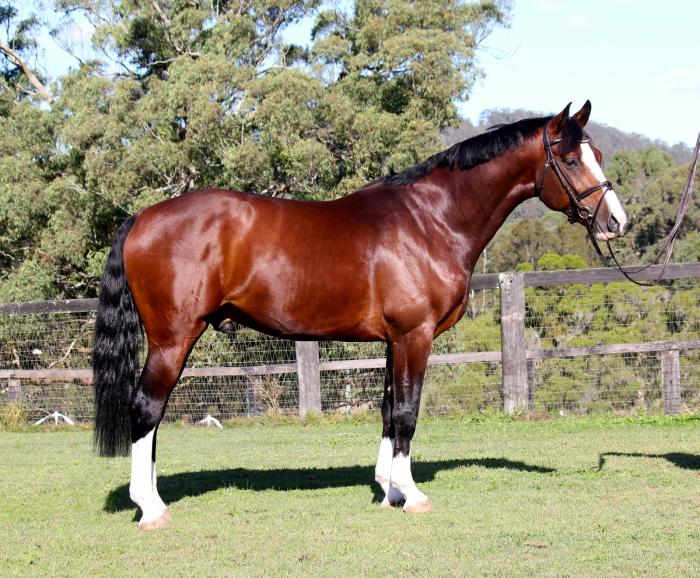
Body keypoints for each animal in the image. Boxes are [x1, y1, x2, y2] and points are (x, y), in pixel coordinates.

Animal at [93, 100, 628, 529]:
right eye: (570, 159)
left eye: (598, 156)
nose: (616, 222)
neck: (430, 221)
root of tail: (141, 218)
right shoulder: (415, 336)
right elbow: (408, 413)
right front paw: (412, 495)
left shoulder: (394, 341)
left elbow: (390, 411)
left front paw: (389, 490)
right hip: (173, 338)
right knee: (146, 408)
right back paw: (151, 508)